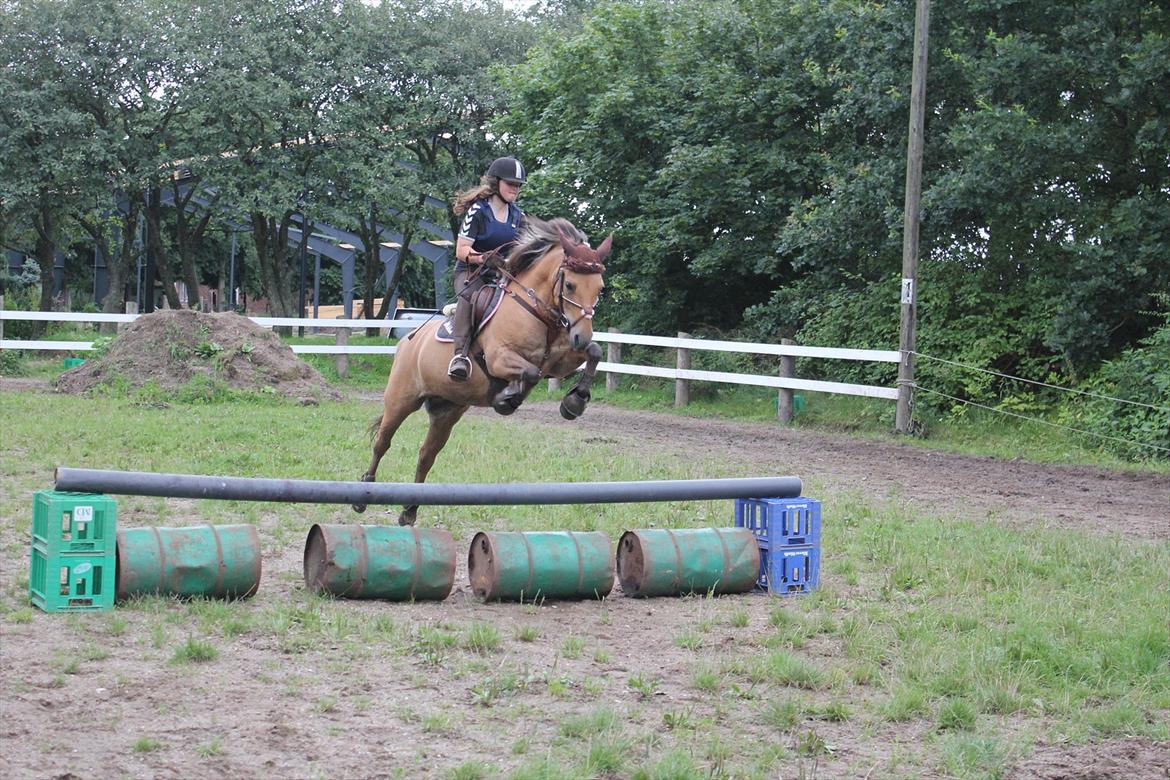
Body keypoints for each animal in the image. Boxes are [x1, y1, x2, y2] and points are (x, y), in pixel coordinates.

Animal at [353, 216, 613, 528]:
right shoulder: (500, 358)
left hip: (447, 412)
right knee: (382, 442)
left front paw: (574, 401)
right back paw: (364, 494)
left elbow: (593, 354)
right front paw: (506, 398)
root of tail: (407, 340)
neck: (536, 310)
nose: (581, 336)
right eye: (571, 285)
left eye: (599, 288)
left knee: (426, 455)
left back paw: (409, 510)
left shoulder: (559, 363)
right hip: (400, 400)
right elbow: (530, 373)